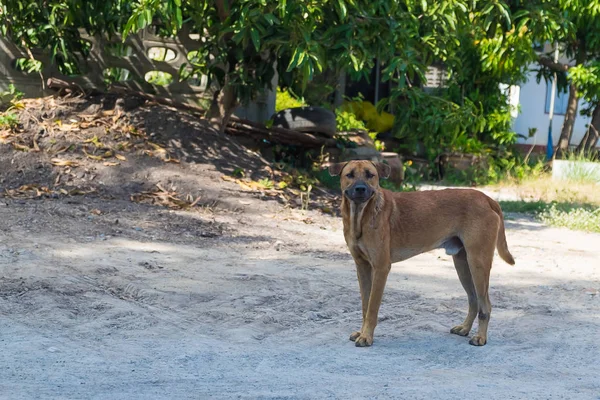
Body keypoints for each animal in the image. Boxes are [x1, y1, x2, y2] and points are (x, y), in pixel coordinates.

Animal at [328, 159, 516, 346]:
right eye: (350, 175)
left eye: (370, 175)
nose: (360, 188)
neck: (361, 216)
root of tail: (487, 199)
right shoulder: (362, 267)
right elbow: (365, 306)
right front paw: (362, 332)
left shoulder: (381, 268)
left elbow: (372, 308)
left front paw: (366, 336)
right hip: (463, 264)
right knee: (474, 300)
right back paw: (464, 328)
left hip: (478, 263)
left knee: (486, 305)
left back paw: (480, 337)